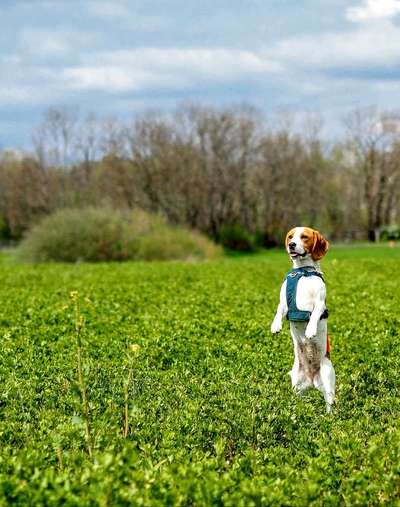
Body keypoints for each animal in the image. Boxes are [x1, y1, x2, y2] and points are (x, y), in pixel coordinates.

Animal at [270, 226, 336, 412]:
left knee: (330, 403)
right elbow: (279, 310)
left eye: (304, 237)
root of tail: (312, 380)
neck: (303, 271)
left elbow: (314, 315)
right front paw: (275, 326)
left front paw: (310, 330)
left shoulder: (319, 303)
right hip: (297, 386)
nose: (291, 245)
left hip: (328, 382)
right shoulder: (284, 302)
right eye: (291, 237)